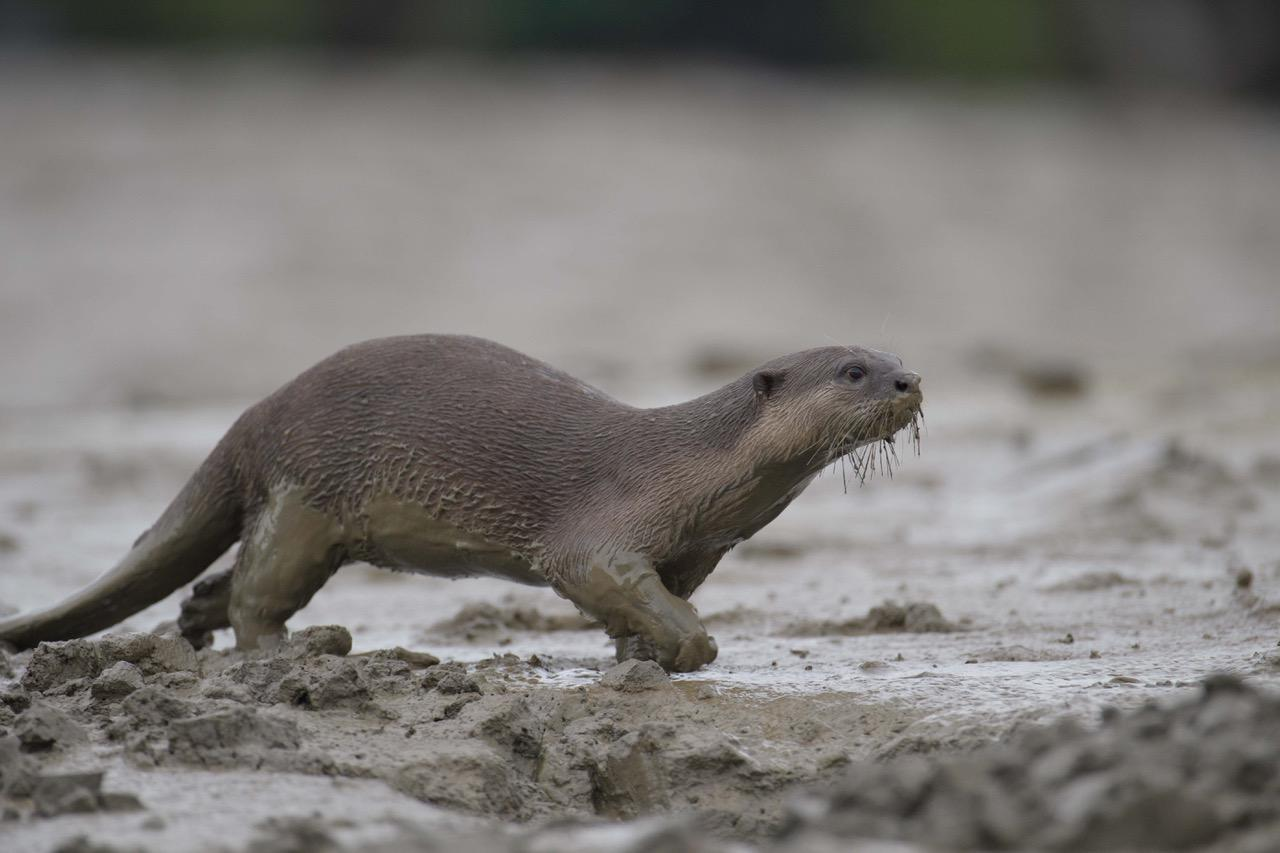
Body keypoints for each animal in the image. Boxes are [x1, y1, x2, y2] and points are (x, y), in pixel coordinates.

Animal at [0, 333, 921, 671]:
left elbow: (649, 605)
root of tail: (255, 416)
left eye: (889, 354)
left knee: (220, 582)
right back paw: (301, 648)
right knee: (260, 591)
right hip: (309, 492)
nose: (909, 379)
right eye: (851, 371)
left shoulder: (691, 552)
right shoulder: (602, 530)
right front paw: (684, 651)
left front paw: (638, 656)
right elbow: (617, 584)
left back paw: (194, 628)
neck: (692, 472)